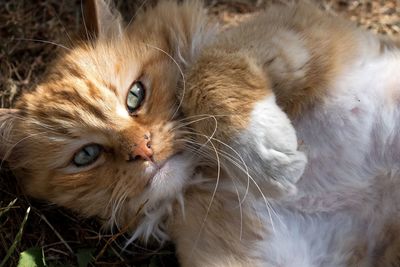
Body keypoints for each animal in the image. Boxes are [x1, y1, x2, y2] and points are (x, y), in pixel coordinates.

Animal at [2, 0, 400, 266]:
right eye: (86, 156)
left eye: (135, 95)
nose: (144, 151)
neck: (209, 168)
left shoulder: (295, 29)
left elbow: (208, 66)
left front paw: (264, 157)